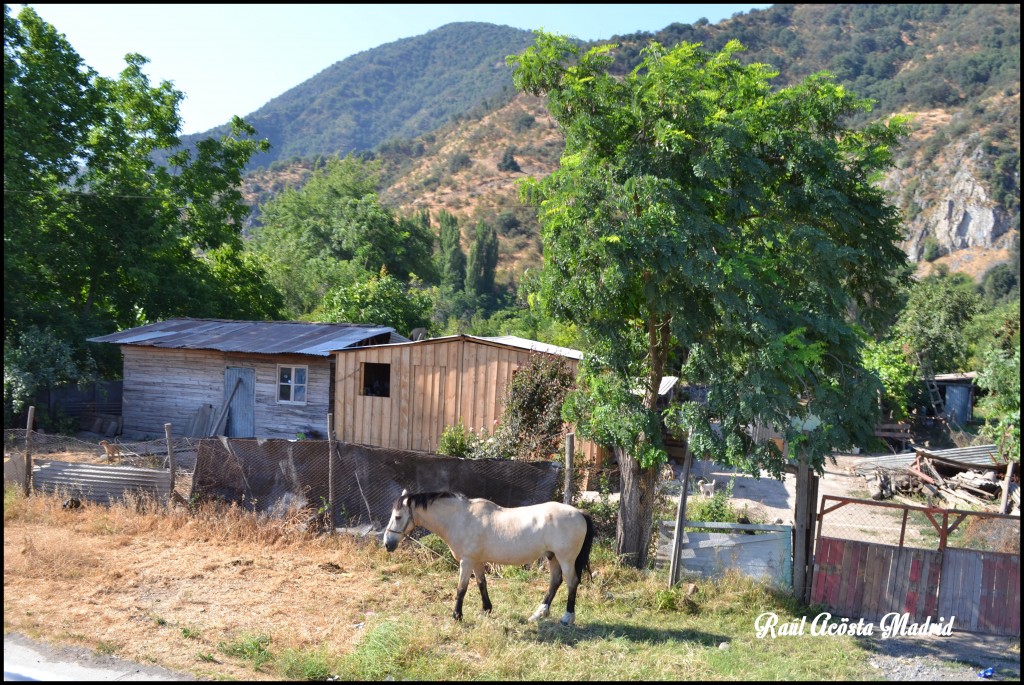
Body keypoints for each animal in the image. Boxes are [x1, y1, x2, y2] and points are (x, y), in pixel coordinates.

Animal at [382, 491, 593, 626]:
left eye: (398, 517)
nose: (387, 543)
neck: (462, 519)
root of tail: (579, 513)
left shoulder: (466, 561)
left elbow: (461, 589)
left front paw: (457, 616)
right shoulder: (476, 561)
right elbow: (481, 584)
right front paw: (486, 609)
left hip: (566, 559)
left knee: (571, 582)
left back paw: (567, 618)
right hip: (553, 557)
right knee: (555, 582)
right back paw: (538, 614)